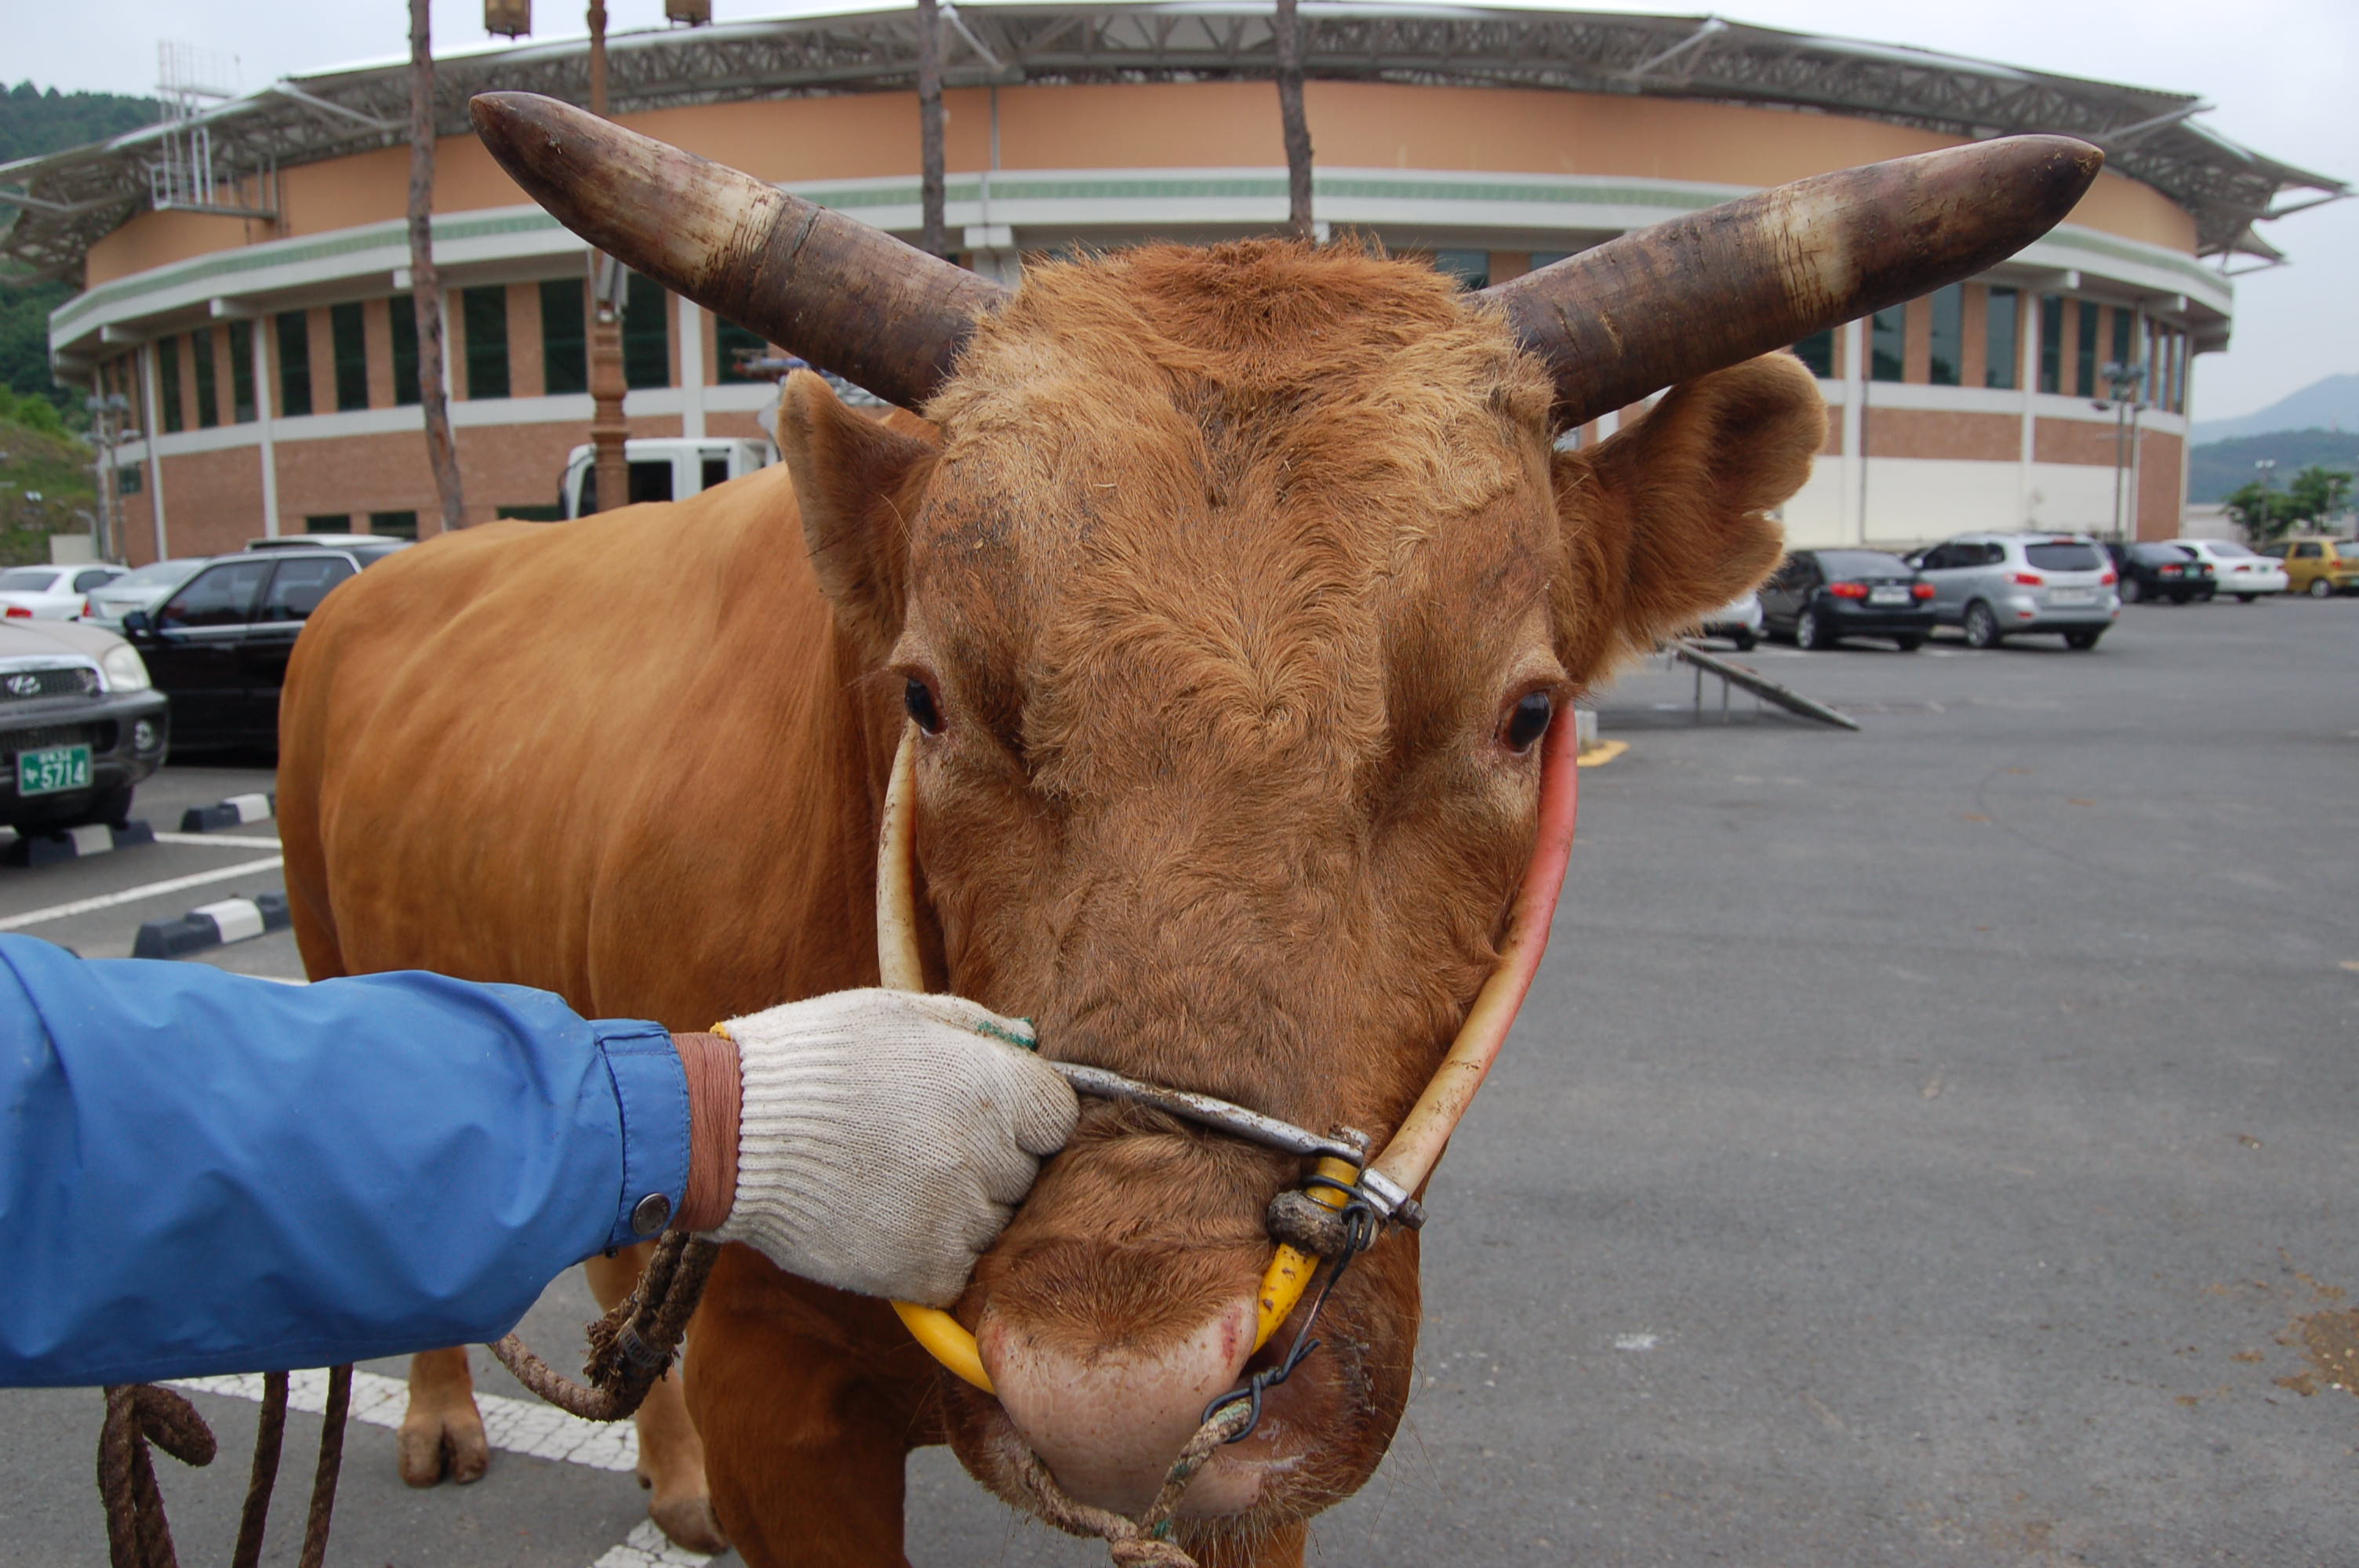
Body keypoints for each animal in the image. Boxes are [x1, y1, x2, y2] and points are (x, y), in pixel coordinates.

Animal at [275, 95, 2104, 1555]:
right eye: (928, 694)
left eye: (1523, 712)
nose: (1119, 1394)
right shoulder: (778, 1391)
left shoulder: (1274, 1460)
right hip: (332, 954)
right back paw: (442, 1420)